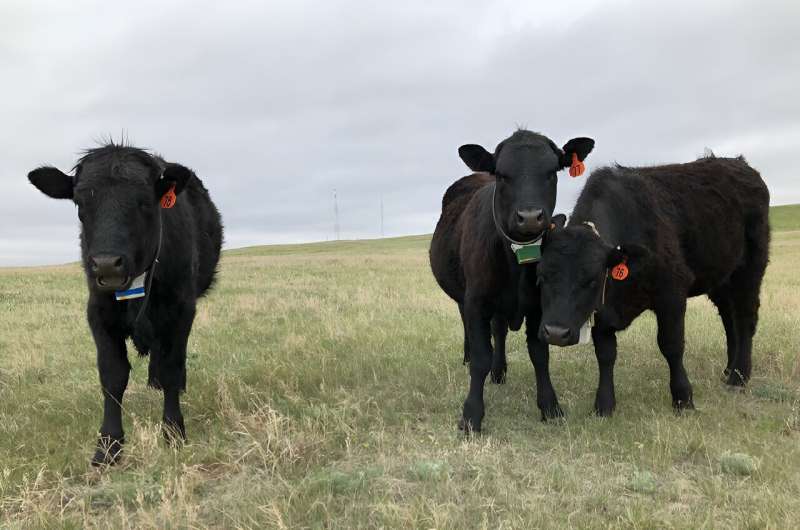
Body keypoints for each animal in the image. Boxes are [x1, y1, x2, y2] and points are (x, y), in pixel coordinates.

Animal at [28, 141, 222, 462]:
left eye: (144, 201)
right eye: (80, 203)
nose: (107, 264)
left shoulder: (181, 310)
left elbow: (172, 366)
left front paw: (173, 432)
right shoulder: (98, 313)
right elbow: (112, 375)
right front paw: (108, 444)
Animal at [432, 130, 592, 432]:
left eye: (551, 171)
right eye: (502, 174)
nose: (529, 217)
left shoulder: (539, 306)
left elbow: (540, 354)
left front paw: (550, 407)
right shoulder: (476, 301)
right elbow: (481, 357)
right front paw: (471, 415)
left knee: (499, 331)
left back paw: (500, 371)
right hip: (463, 298)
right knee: (472, 331)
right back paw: (470, 358)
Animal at [536, 153, 768, 412]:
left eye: (593, 279)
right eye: (542, 276)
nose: (556, 333)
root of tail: (739, 164)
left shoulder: (672, 294)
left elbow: (671, 345)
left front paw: (683, 398)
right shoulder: (603, 311)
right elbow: (605, 354)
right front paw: (604, 404)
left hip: (749, 270)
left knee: (745, 320)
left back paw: (738, 377)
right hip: (720, 278)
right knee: (730, 319)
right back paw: (729, 369)